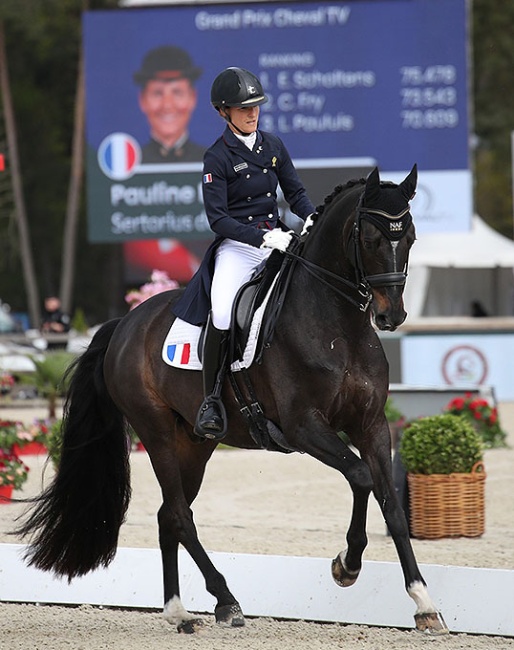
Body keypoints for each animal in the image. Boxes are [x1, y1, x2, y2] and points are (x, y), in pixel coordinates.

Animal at [16, 166, 446, 632]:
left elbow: (393, 507)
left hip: (195, 444)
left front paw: (423, 602)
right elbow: (361, 477)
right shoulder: (305, 427)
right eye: (368, 237)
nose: (391, 315)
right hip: (156, 431)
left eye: (410, 237)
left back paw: (179, 611)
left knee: (168, 515)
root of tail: (125, 323)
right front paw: (345, 566)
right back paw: (226, 601)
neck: (339, 327)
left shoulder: (371, 425)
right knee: (180, 516)